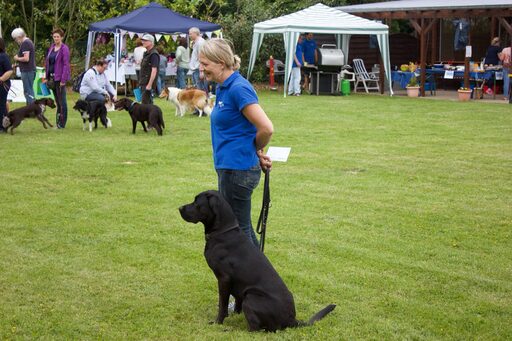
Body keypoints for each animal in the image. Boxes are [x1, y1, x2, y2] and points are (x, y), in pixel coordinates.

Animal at [180, 189, 336, 330]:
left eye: (197, 202)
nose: (180, 208)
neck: (223, 232)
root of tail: (292, 319)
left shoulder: (224, 279)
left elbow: (222, 305)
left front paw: (218, 322)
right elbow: (236, 303)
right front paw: (235, 315)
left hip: (251, 298)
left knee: (256, 329)